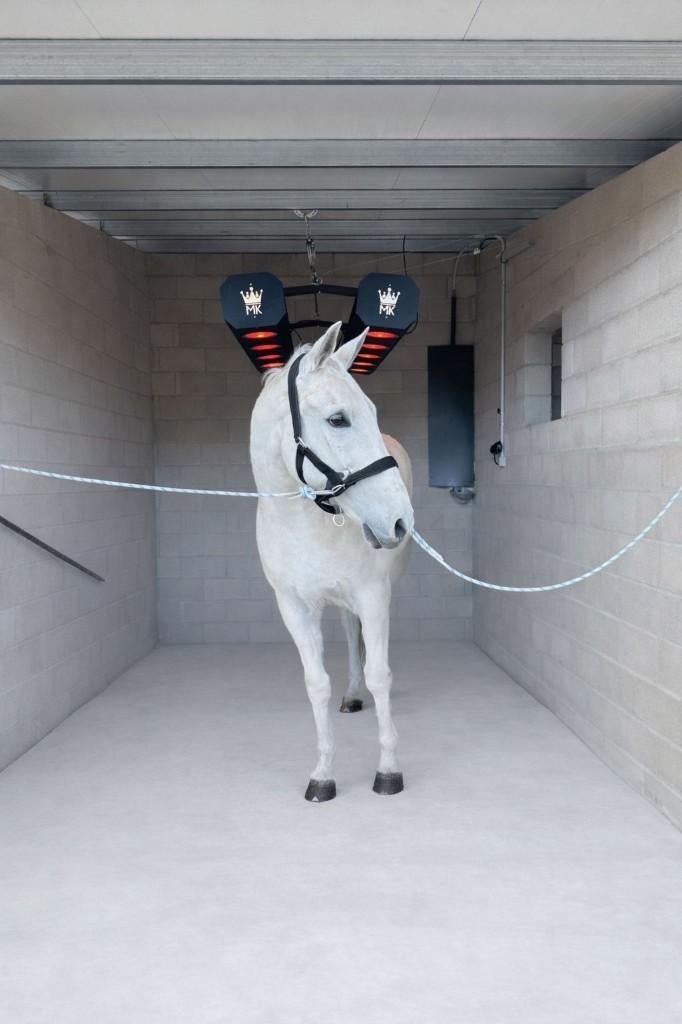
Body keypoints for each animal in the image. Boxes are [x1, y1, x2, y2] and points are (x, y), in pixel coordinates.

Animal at [250, 322, 414, 802]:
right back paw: (353, 694)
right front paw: (322, 773)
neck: (306, 525)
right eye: (337, 419)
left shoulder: (374, 597)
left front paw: (388, 770)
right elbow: (316, 683)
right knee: (347, 631)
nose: (401, 520)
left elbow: (381, 674)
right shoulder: (295, 609)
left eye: (373, 413)